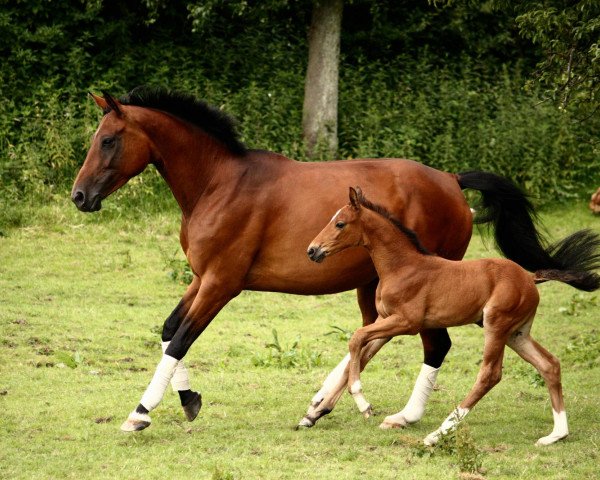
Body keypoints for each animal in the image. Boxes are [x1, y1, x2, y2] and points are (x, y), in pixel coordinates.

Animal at [70, 85, 568, 432]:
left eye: (109, 140)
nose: (79, 196)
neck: (219, 185)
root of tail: (450, 179)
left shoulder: (222, 283)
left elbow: (180, 340)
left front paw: (139, 414)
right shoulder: (201, 277)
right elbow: (169, 329)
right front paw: (189, 400)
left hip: (426, 285)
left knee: (431, 345)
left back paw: (400, 415)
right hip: (374, 284)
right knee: (373, 336)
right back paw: (319, 406)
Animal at [308, 188, 596, 446]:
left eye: (340, 223)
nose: (312, 250)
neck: (401, 266)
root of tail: (530, 277)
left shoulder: (407, 322)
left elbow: (356, 339)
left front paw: (362, 403)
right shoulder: (386, 321)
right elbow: (360, 350)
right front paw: (316, 410)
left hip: (496, 325)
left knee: (490, 375)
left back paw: (437, 434)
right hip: (517, 333)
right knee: (549, 364)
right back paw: (556, 435)